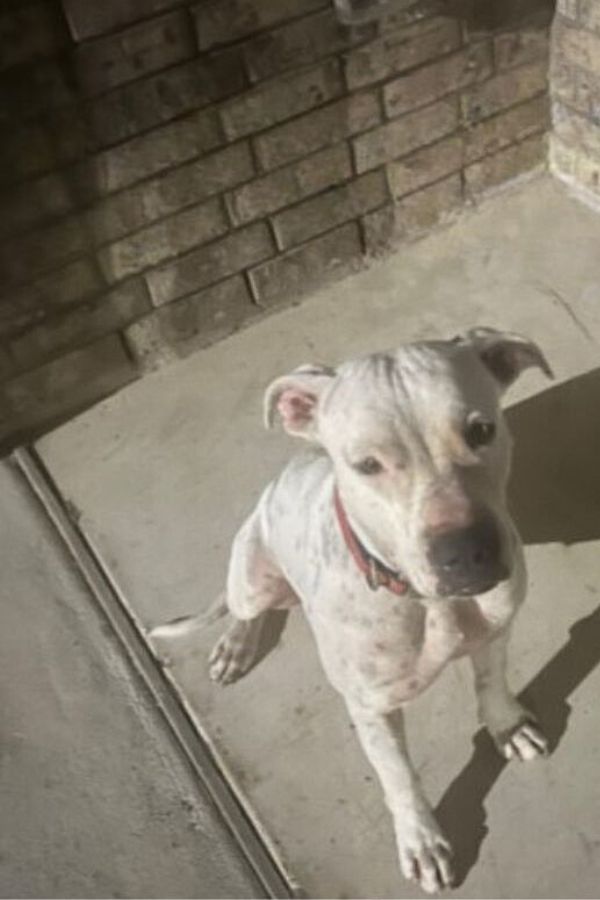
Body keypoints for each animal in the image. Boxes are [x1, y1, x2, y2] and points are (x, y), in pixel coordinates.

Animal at [154, 328, 552, 892]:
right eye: (367, 465)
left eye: (481, 430)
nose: (466, 552)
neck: (423, 600)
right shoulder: (370, 707)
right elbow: (399, 776)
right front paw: (422, 841)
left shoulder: (497, 630)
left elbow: (491, 683)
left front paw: (507, 727)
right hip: (251, 574)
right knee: (244, 607)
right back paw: (235, 644)